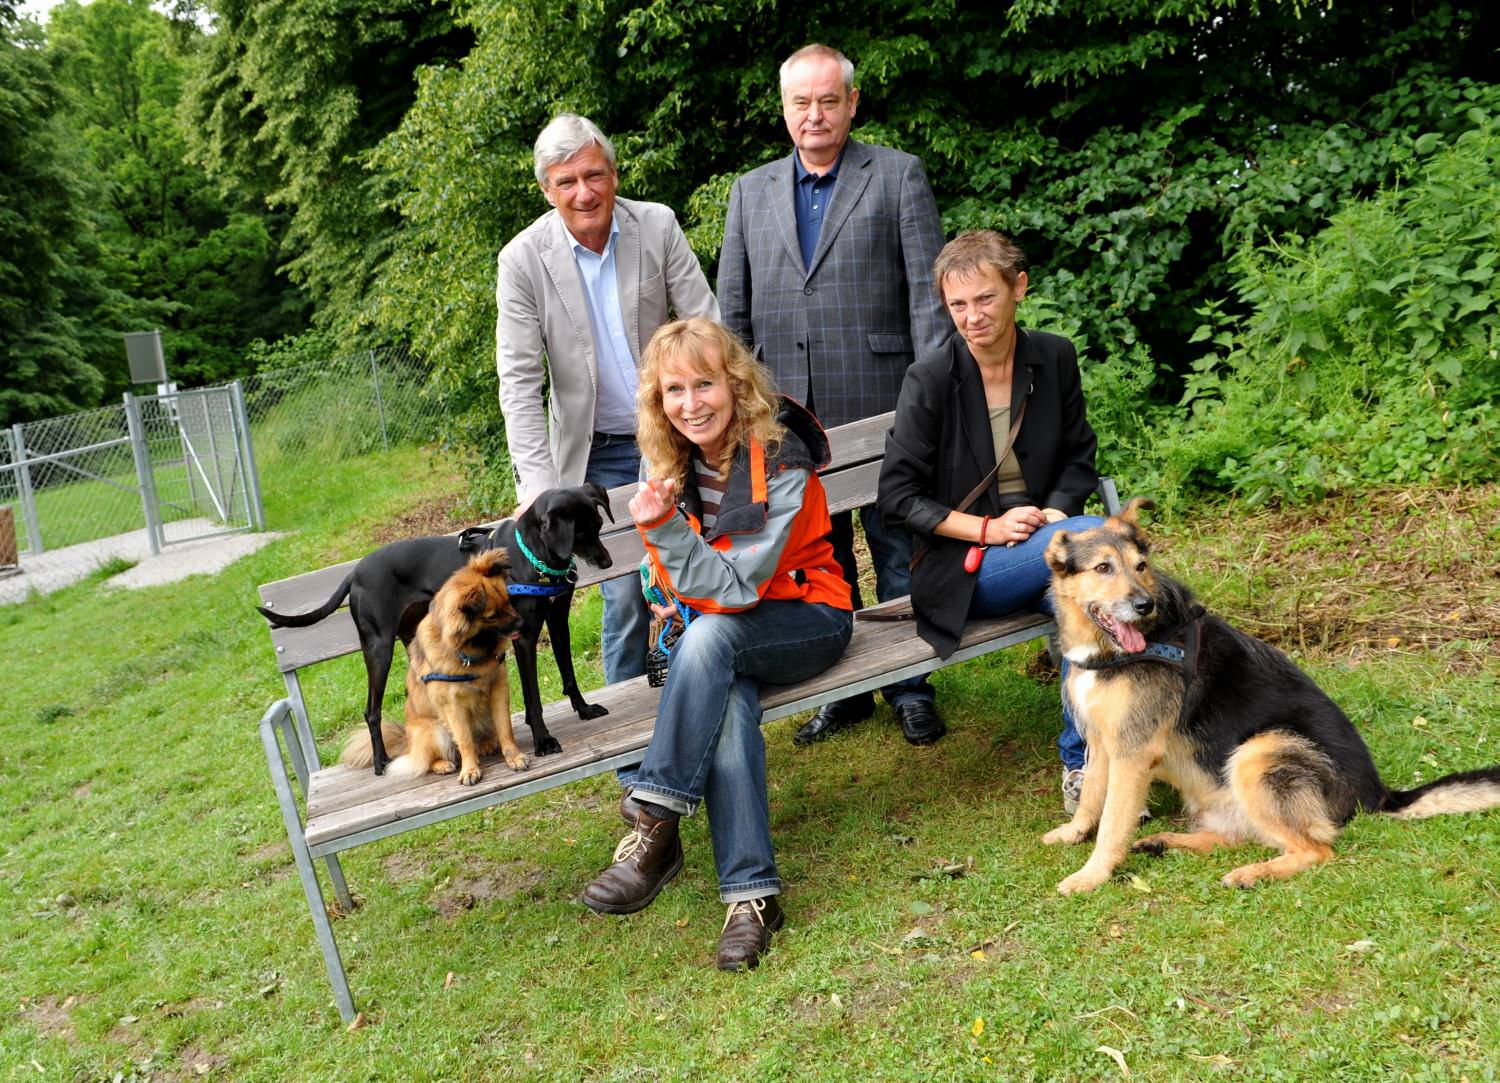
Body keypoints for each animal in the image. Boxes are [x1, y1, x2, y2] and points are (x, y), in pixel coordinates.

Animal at [343, 552, 531, 780]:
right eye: (491, 616)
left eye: (508, 601)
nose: (523, 624)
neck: (470, 653)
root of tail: (408, 743)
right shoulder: (452, 705)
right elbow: (464, 739)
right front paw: (470, 770)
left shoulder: (498, 690)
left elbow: (505, 729)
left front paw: (514, 757)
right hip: (434, 730)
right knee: (428, 760)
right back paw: (442, 764)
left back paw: (486, 744)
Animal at [1044, 501, 1500, 888]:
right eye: (1103, 567)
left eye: (1140, 567)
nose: (1144, 605)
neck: (1109, 651)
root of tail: (1379, 796)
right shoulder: (1102, 742)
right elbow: (1091, 799)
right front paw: (1072, 833)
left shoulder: (1133, 753)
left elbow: (1112, 821)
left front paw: (1092, 875)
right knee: (1240, 836)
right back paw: (1167, 842)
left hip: (1258, 753)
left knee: (1316, 850)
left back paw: (1251, 873)